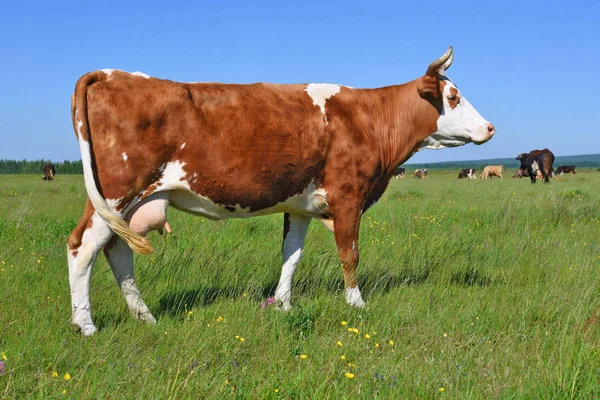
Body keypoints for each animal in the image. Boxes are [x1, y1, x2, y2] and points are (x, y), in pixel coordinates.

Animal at [67, 46, 496, 334]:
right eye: (453, 96)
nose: (490, 127)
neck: (367, 118)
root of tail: (110, 74)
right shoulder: (348, 195)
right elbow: (350, 254)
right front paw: (356, 304)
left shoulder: (301, 205)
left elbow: (291, 255)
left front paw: (283, 305)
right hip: (118, 191)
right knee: (82, 246)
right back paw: (85, 325)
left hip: (127, 204)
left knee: (117, 249)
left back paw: (145, 316)